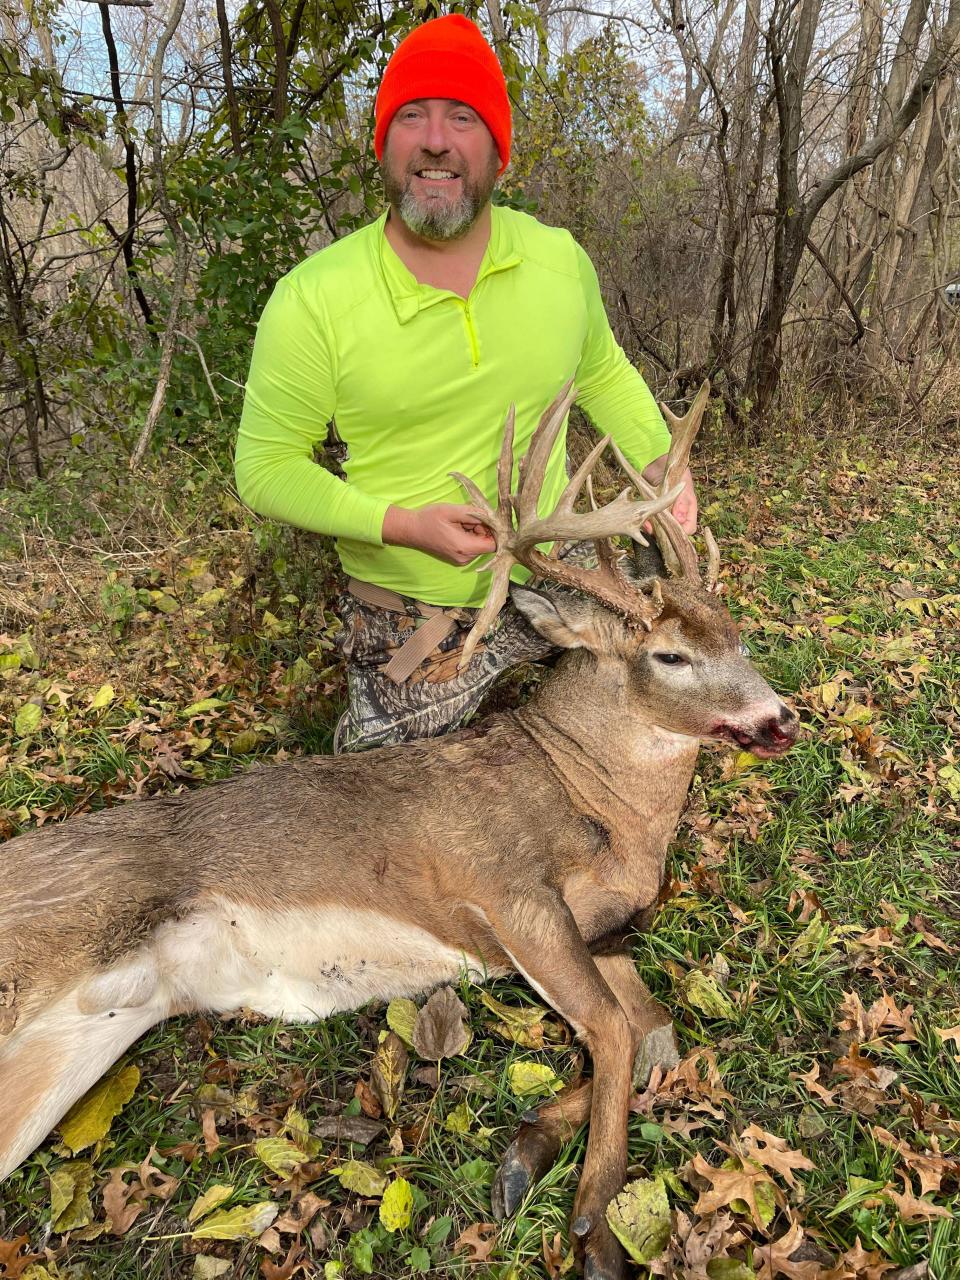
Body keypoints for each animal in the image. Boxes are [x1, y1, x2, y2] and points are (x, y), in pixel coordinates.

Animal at [0, 384, 798, 1280]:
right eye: (669, 656)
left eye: (735, 631)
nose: (781, 718)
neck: (599, 804)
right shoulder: (507, 889)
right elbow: (613, 1029)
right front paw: (591, 1218)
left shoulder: (604, 928)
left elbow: (654, 1029)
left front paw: (530, 1152)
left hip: (81, 1037)